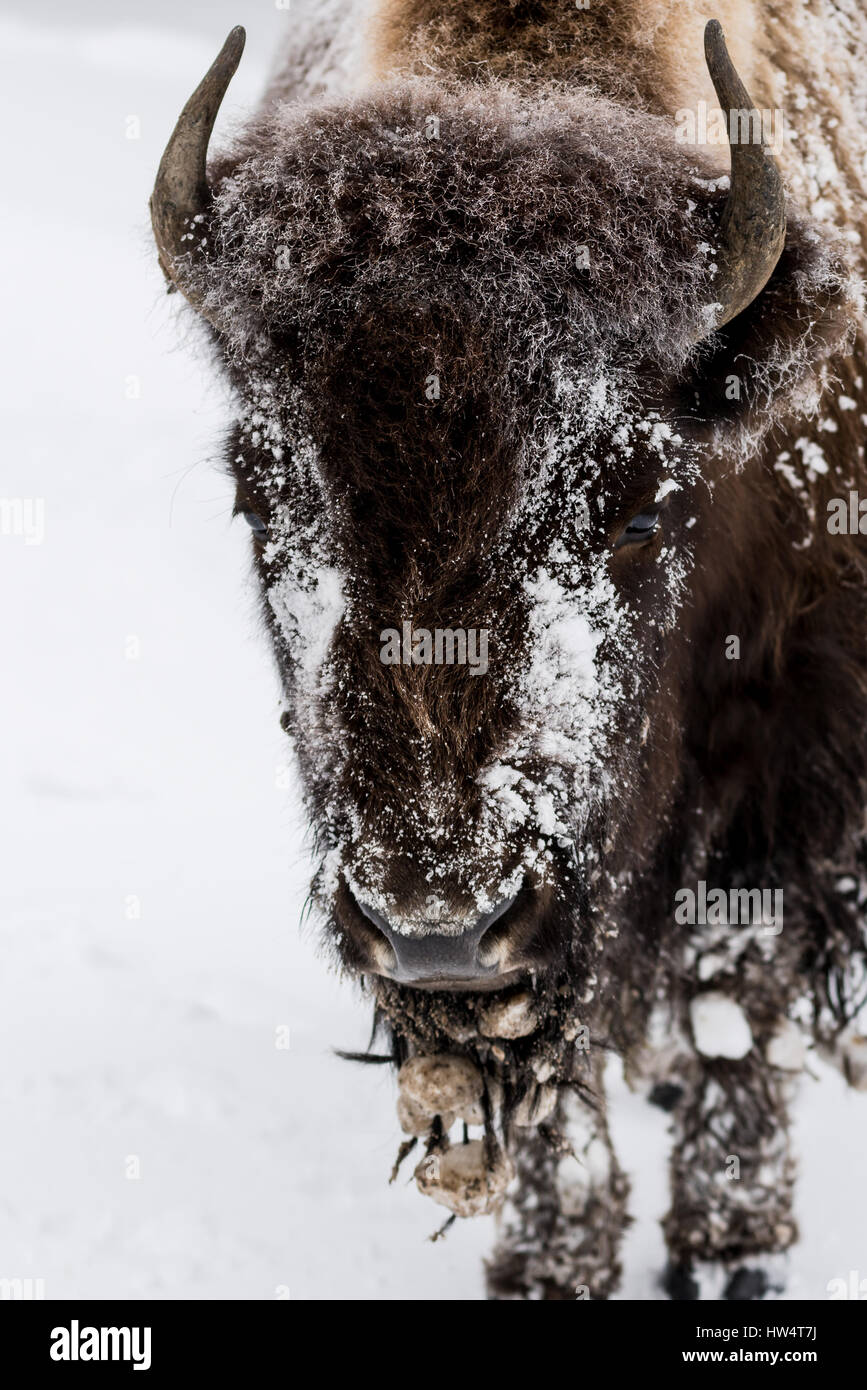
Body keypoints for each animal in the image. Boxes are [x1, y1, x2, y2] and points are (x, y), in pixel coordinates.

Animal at [152, 5, 867, 1295]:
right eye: (258, 501)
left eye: (637, 514)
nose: (437, 924)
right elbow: (549, 1071)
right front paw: (553, 1262)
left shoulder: (787, 768)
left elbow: (737, 996)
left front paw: (732, 1254)